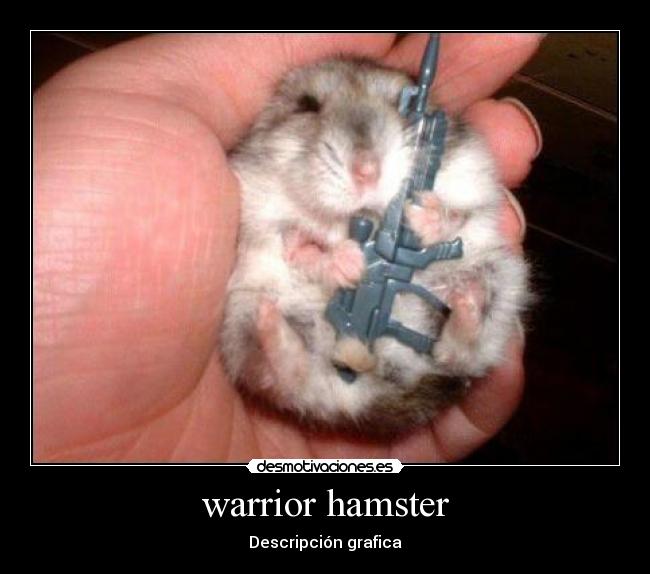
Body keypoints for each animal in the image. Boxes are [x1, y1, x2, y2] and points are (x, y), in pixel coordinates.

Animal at [220, 58, 529, 438]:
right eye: (307, 105)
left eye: (401, 105)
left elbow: (454, 217)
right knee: (290, 375)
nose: (367, 171)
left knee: (458, 354)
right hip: (241, 323)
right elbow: (299, 250)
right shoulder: (261, 226)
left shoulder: (476, 189)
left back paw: (467, 300)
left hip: (505, 278)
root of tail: (353, 397)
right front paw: (350, 264)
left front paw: (421, 219)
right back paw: (271, 325)